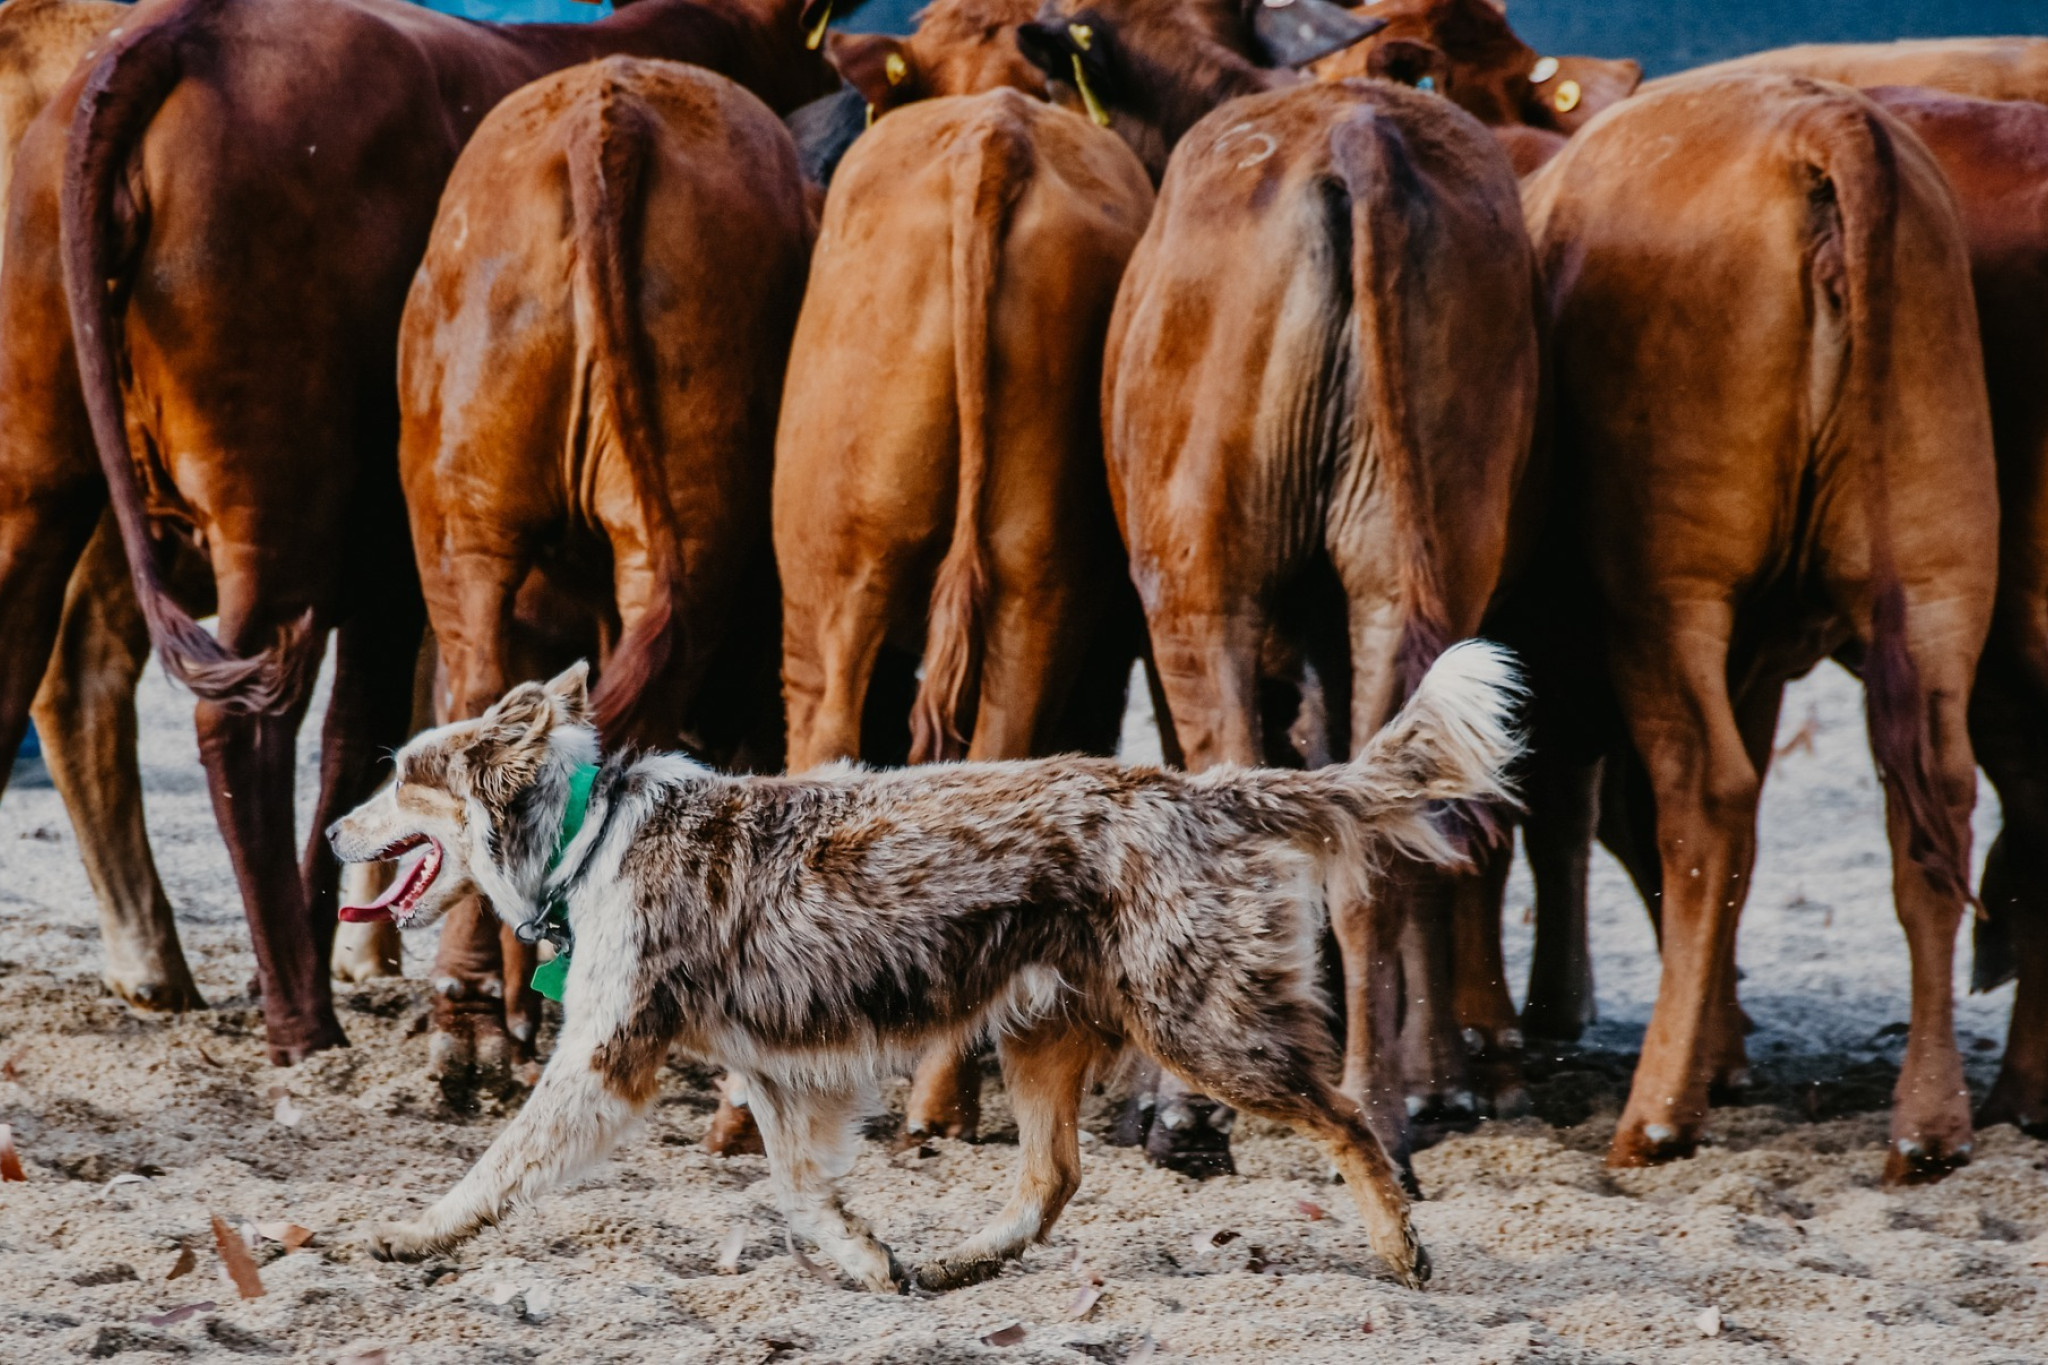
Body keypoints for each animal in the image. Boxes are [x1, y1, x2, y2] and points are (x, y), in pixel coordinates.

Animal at [327, 642, 1531, 1293]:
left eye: (401, 775)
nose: (334, 829)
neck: (588, 830)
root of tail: (1197, 790)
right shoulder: (781, 1074)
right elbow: (804, 1193)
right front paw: (870, 1264)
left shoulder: (603, 1056)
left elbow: (496, 1164)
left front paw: (410, 1232)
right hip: (1044, 1031)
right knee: (1052, 1178)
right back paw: (957, 1265)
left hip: (1202, 1025)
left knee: (1345, 1116)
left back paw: (1399, 1249)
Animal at [1531, 74, 1990, 1178]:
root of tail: (1811, 119)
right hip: (1938, 573)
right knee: (1933, 804)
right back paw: (1926, 1125)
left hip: (1667, 591)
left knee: (1703, 796)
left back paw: (1655, 1113)